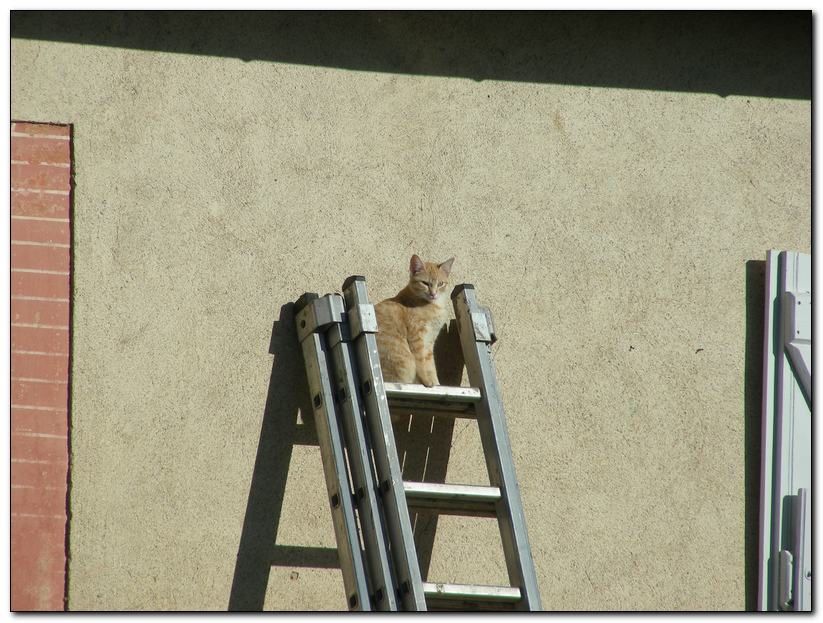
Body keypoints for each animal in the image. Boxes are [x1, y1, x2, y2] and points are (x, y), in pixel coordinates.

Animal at [374, 254, 458, 386]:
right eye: (425, 283)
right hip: (405, 361)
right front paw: (426, 381)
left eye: (440, 284)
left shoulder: (429, 342)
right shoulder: (417, 337)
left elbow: (430, 366)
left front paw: (436, 383)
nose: (433, 294)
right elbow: (421, 363)